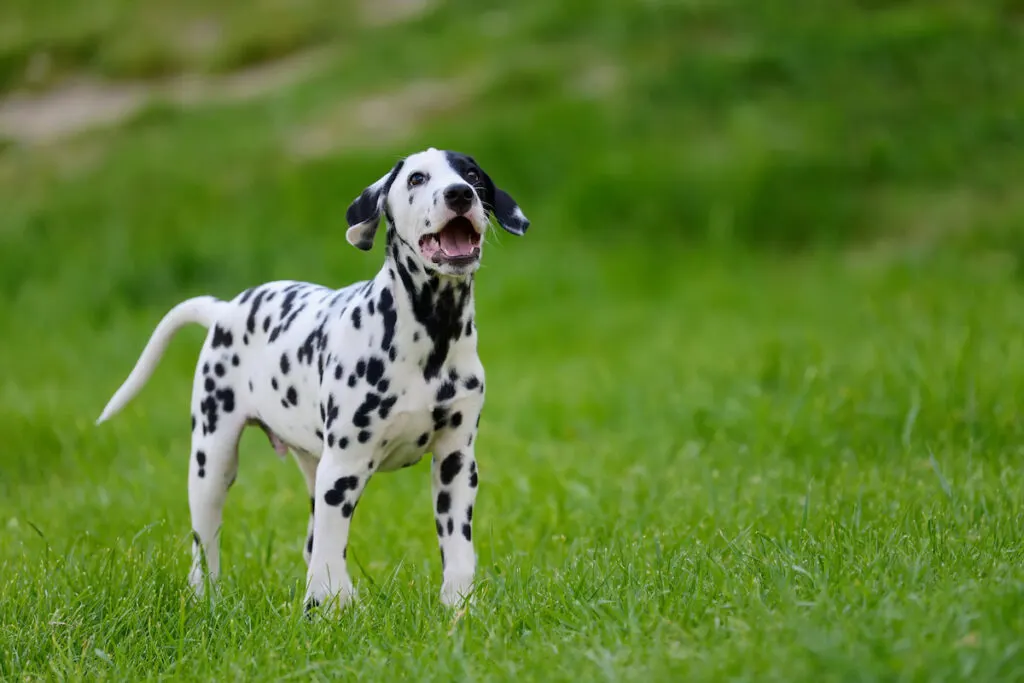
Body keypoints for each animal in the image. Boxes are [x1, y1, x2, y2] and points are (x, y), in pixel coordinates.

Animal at [96, 147, 532, 610]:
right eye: (417, 178)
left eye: (472, 174)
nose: (460, 194)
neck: (431, 335)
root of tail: (225, 309)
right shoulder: (343, 469)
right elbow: (329, 547)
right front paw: (325, 608)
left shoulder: (456, 463)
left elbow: (456, 548)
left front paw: (458, 606)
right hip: (212, 461)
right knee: (207, 543)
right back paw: (207, 598)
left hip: (312, 465)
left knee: (310, 541)